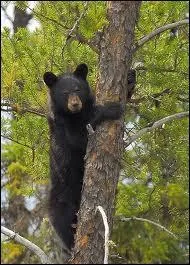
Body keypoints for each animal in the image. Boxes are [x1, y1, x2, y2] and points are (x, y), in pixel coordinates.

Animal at [43, 63, 123, 251]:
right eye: (65, 92)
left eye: (78, 89)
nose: (74, 103)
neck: (74, 115)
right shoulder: (64, 127)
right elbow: (80, 138)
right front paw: (111, 108)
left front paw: (130, 79)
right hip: (62, 203)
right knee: (64, 226)